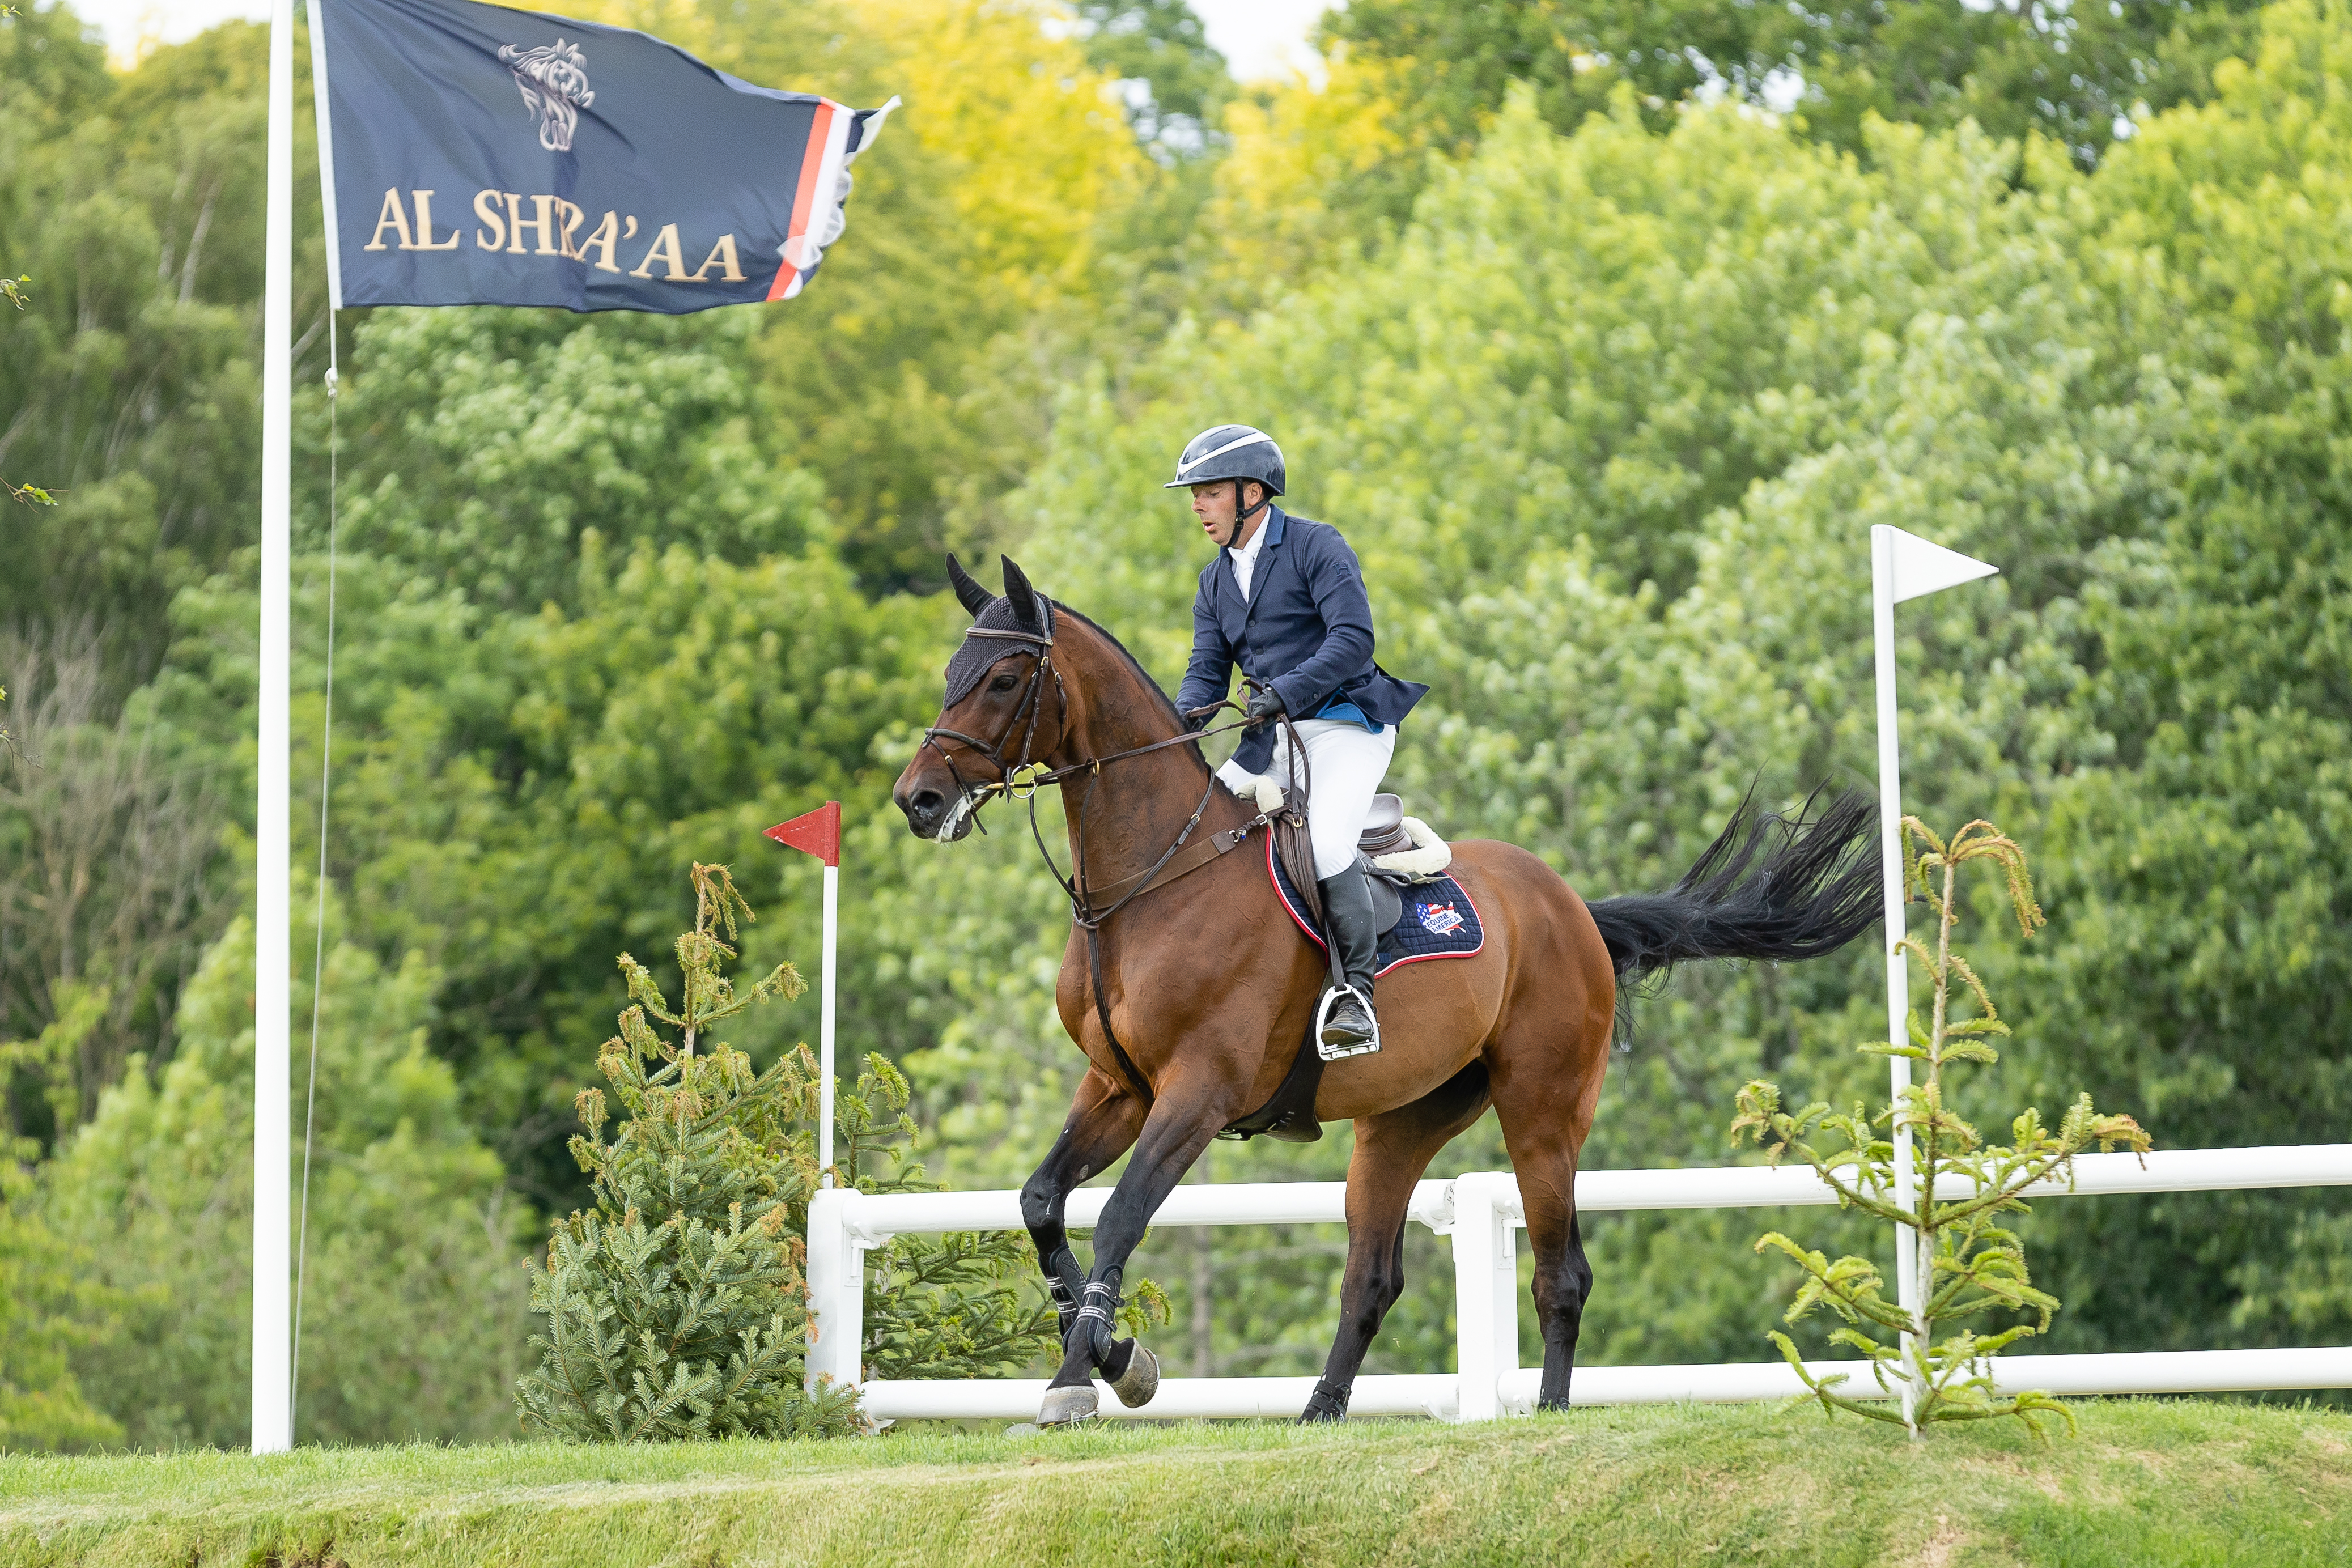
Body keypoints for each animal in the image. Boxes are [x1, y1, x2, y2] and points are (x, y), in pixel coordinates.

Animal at [890, 554, 1880, 1426]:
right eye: (950, 674)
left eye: (1003, 678)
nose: (918, 799)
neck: (1151, 878)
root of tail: (1569, 905)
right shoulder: (1118, 1088)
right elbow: (1041, 1202)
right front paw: (1113, 1358)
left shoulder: (1197, 1093)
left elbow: (1119, 1220)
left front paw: (1085, 1375)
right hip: (1401, 1121)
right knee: (1371, 1275)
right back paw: (1321, 1409)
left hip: (1542, 1107)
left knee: (1559, 1270)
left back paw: (1551, 1412)